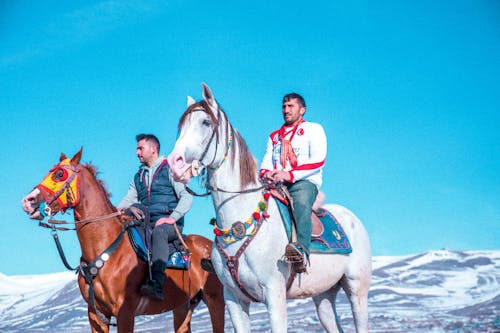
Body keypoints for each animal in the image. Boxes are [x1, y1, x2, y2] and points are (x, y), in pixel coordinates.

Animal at [21, 148, 225, 332]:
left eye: (59, 174)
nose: (28, 201)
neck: (105, 247)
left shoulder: (124, 312)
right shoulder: (95, 315)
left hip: (216, 300)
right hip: (183, 307)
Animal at [168, 82, 372, 330]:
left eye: (206, 122)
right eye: (181, 126)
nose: (174, 163)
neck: (240, 221)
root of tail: (353, 220)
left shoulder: (274, 294)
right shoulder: (234, 299)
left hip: (356, 289)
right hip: (323, 295)